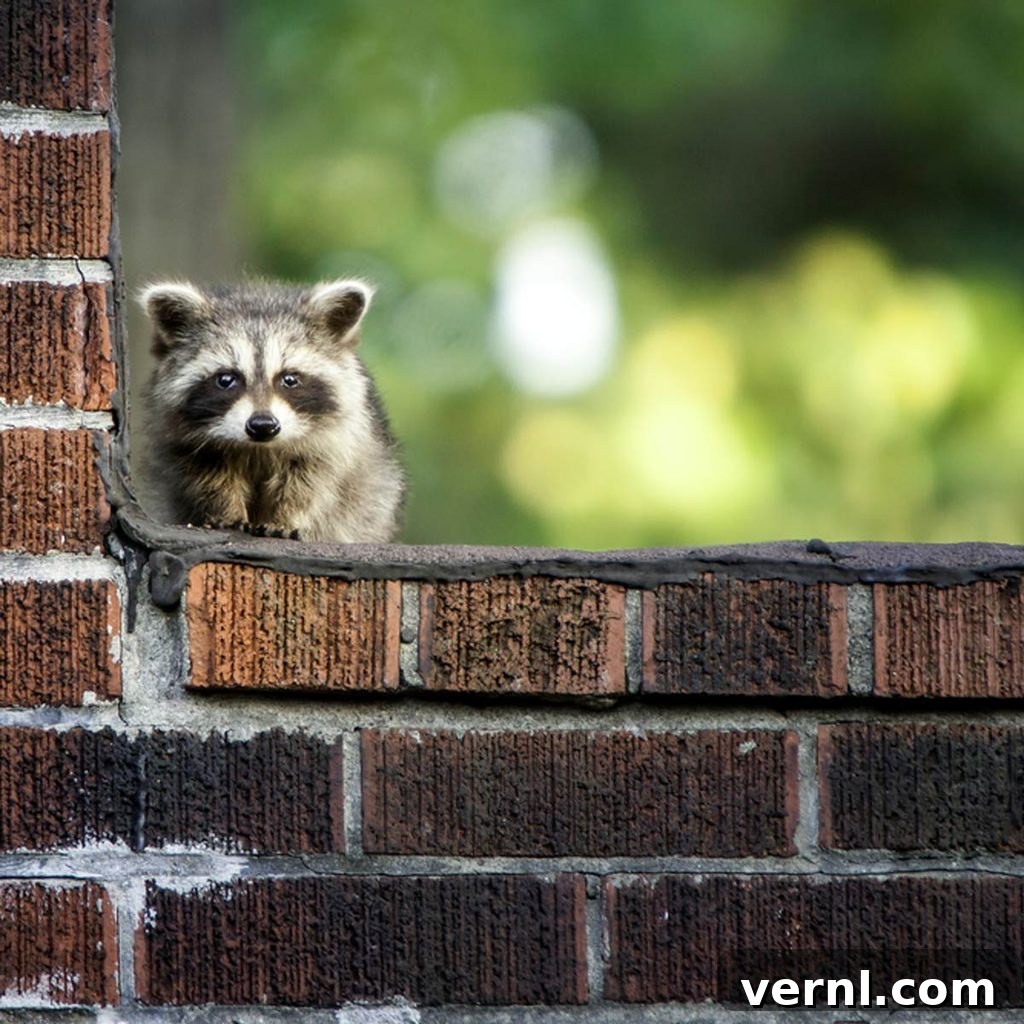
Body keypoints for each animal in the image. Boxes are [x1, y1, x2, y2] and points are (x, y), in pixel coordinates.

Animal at [139, 278, 404, 543]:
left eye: (289, 379)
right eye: (226, 379)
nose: (263, 426)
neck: (259, 448)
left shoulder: (335, 441)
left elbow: (310, 483)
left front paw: (284, 517)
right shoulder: (184, 442)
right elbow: (209, 477)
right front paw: (227, 511)